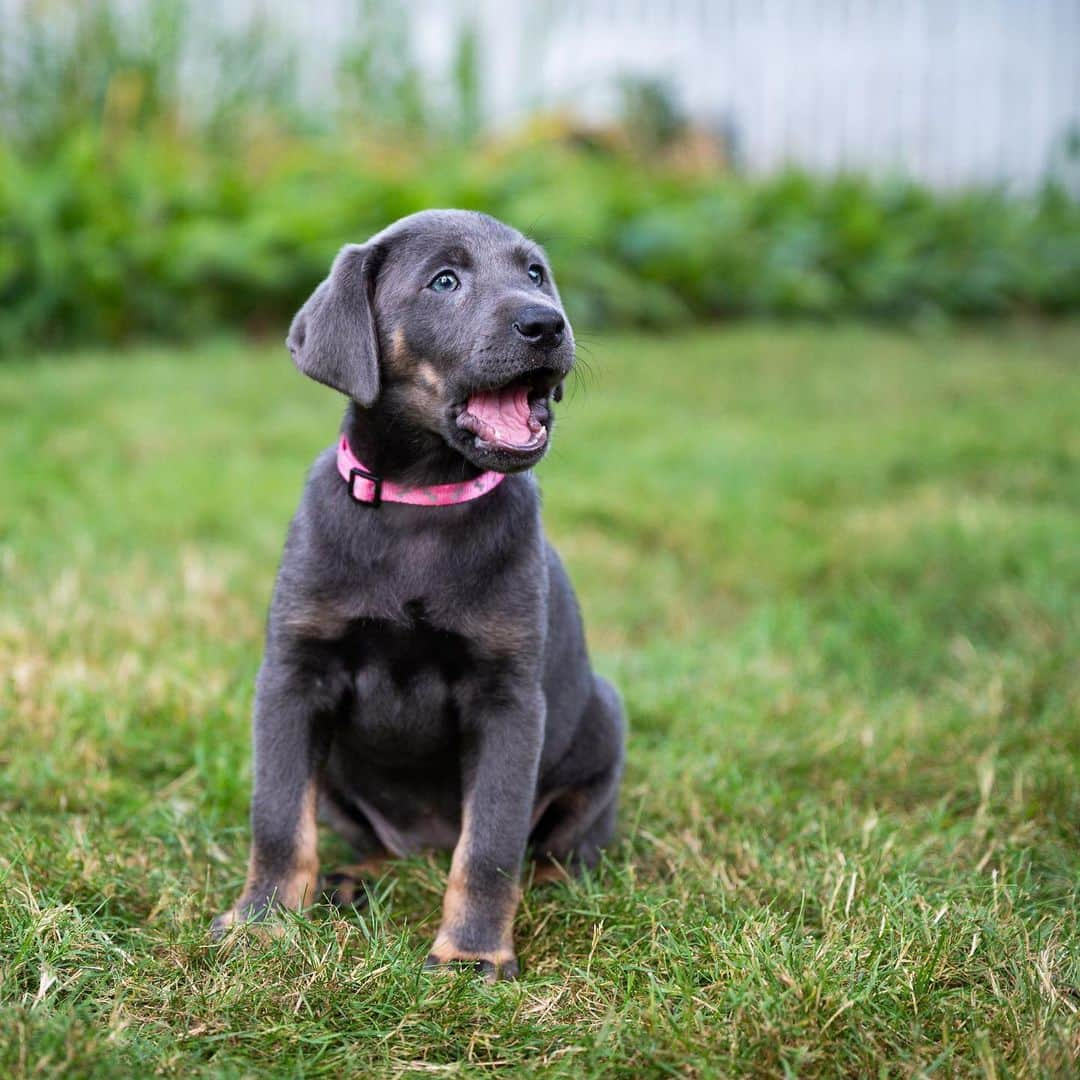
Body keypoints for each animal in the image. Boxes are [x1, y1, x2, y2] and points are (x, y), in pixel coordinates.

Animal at [211, 204, 630, 980]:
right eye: (444, 281)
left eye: (535, 273)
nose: (547, 323)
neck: (421, 503)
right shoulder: (293, 676)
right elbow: (279, 817)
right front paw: (262, 922)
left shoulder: (508, 699)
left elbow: (490, 845)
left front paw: (471, 952)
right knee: (376, 844)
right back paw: (352, 879)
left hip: (603, 724)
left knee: (562, 844)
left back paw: (549, 886)